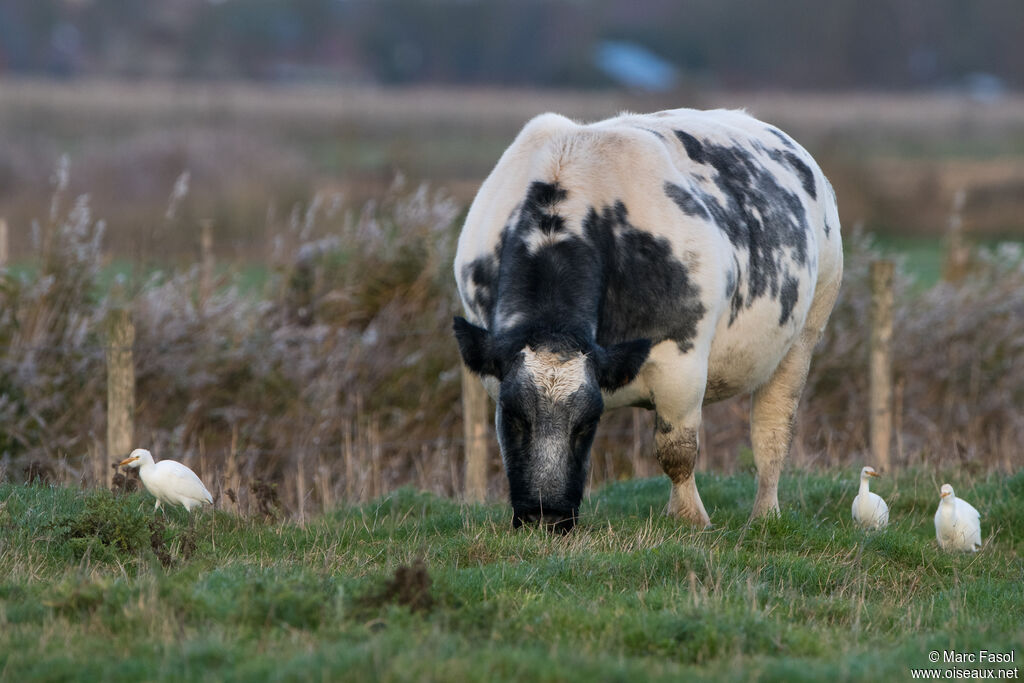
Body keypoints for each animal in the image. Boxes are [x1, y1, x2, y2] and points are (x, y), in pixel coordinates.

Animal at [454, 108, 839, 532]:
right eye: (514, 417)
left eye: (587, 423)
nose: (547, 517)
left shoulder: (681, 362)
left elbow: (677, 450)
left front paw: (690, 519)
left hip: (804, 334)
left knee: (772, 433)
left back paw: (765, 515)